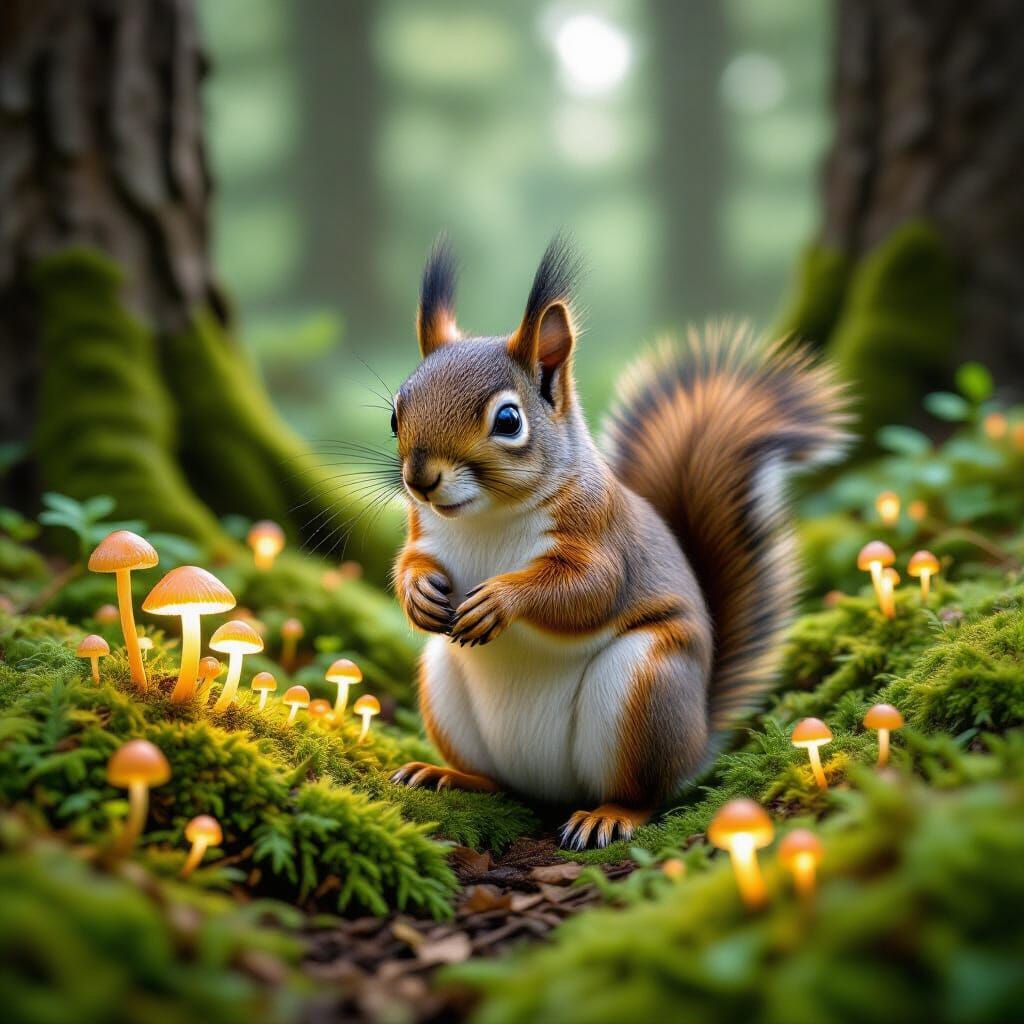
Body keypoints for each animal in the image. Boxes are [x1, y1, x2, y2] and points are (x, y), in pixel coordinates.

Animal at [389, 237, 850, 848]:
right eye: (396, 413)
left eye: (508, 420)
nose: (420, 479)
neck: (487, 519)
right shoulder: (427, 532)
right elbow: (411, 561)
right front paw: (418, 593)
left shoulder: (602, 536)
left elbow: (589, 590)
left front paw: (501, 599)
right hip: (444, 683)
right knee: (498, 782)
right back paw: (448, 774)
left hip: (646, 688)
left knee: (646, 794)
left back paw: (610, 815)